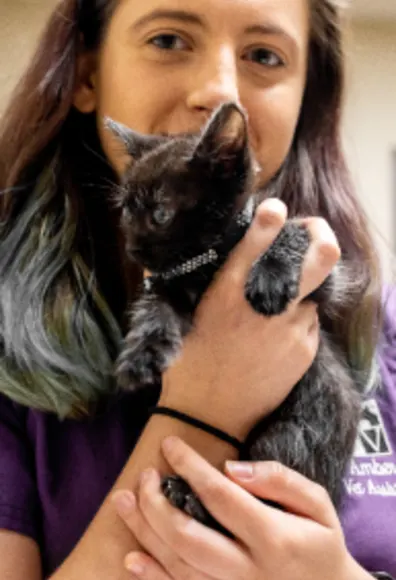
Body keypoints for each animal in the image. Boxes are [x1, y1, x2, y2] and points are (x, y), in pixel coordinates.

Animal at [107, 103, 362, 532]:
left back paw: (193, 499)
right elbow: (155, 308)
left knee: (260, 502)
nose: (134, 249)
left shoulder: (326, 280)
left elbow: (292, 232)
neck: (205, 260)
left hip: (287, 437)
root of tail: (332, 487)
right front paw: (143, 352)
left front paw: (270, 277)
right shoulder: (171, 287)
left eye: (161, 213)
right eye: (126, 211)